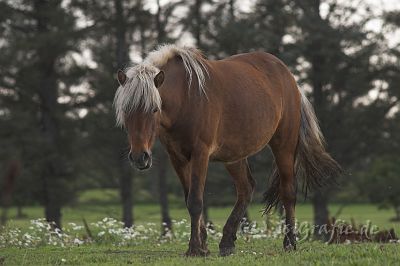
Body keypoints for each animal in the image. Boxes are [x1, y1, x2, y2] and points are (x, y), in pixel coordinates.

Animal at [112, 44, 340, 256]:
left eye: (154, 109)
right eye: (126, 111)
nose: (139, 158)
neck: (186, 98)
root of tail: (291, 79)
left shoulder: (200, 154)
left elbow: (195, 201)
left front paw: (195, 248)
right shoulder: (177, 158)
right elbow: (189, 199)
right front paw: (203, 245)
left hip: (284, 145)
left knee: (288, 192)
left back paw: (290, 243)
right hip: (234, 156)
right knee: (246, 188)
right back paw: (227, 242)